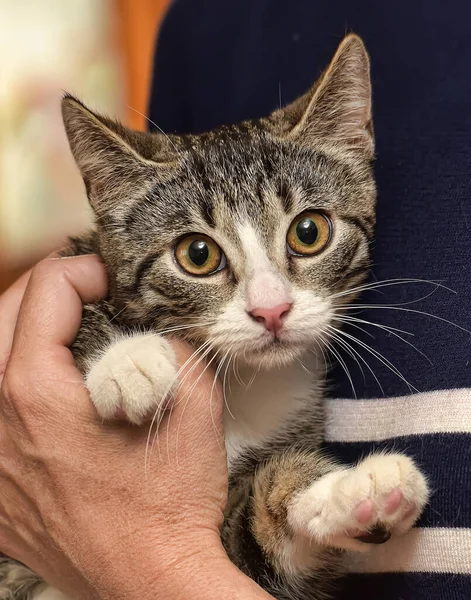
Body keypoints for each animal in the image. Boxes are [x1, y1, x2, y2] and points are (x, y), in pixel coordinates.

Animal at [0, 34, 430, 600]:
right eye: (198, 254)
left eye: (309, 232)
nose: (271, 309)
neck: (243, 383)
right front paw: (127, 361)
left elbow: (256, 532)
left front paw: (352, 490)